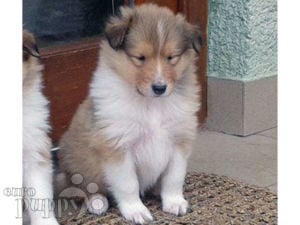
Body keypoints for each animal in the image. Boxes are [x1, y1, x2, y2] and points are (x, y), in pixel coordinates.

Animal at [57, 3, 200, 225]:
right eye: (140, 58)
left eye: (171, 58)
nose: (160, 88)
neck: (151, 104)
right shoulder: (117, 145)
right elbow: (128, 184)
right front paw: (136, 211)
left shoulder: (179, 140)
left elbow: (174, 177)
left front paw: (174, 202)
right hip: (79, 160)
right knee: (83, 187)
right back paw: (97, 202)